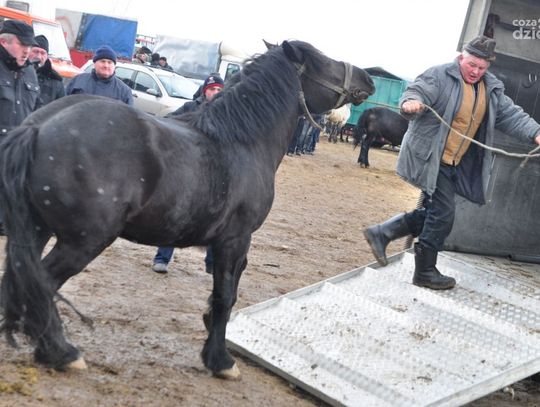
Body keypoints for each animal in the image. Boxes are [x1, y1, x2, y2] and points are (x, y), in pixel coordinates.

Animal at [0, 40, 374, 379]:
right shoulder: (235, 240)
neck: (243, 142)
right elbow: (225, 296)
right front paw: (220, 360)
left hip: (37, 229)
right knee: (42, 285)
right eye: (324, 62)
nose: (368, 79)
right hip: (84, 240)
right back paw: (60, 352)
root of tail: (38, 127)